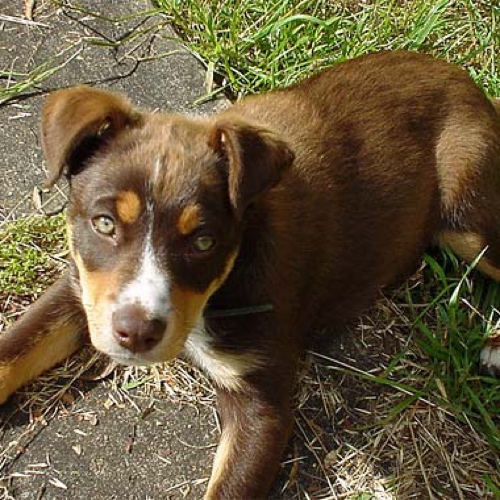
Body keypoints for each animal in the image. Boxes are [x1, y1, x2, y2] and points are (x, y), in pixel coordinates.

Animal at [0, 49, 500, 496]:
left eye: (203, 241)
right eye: (104, 224)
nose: (137, 333)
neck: (218, 291)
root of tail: (467, 82)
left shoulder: (262, 404)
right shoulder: (79, 288)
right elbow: (12, 350)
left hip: (464, 213)